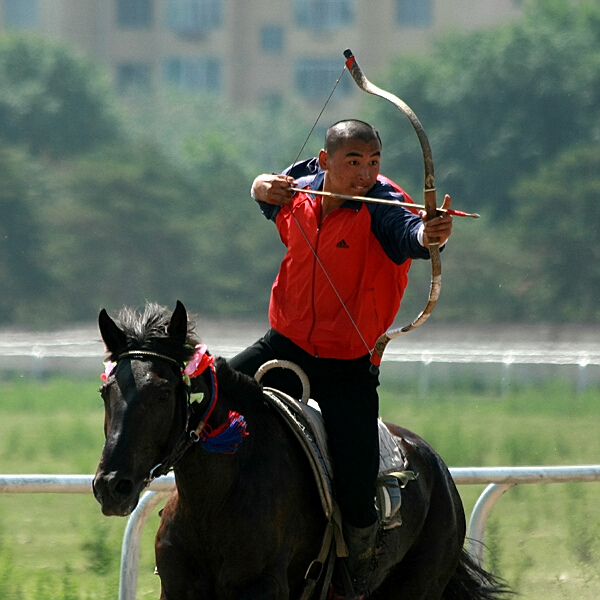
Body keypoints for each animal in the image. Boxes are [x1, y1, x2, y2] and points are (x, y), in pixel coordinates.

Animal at [91, 302, 508, 600]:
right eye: (105, 391)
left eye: (163, 393)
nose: (112, 486)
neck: (216, 499)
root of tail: (437, 467)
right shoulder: (177, 587)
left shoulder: (265, 588)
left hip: (417, 586)